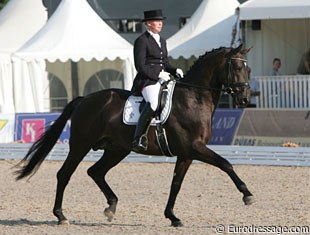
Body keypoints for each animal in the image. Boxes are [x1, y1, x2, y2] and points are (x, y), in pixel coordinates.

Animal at [15, 44, 254, 228]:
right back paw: (61, 215)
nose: (244, 99)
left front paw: (172, 217)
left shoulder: (186, 154)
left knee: (95, 172)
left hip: (116, 149)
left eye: (249, 69)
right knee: (64, 174)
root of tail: (84, 99)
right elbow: (226, 163)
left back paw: (111, 207)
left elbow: (176, 184)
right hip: (81, 145)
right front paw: (247, 194)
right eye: (236, 66)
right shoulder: (194, 147)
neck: (193, 98)